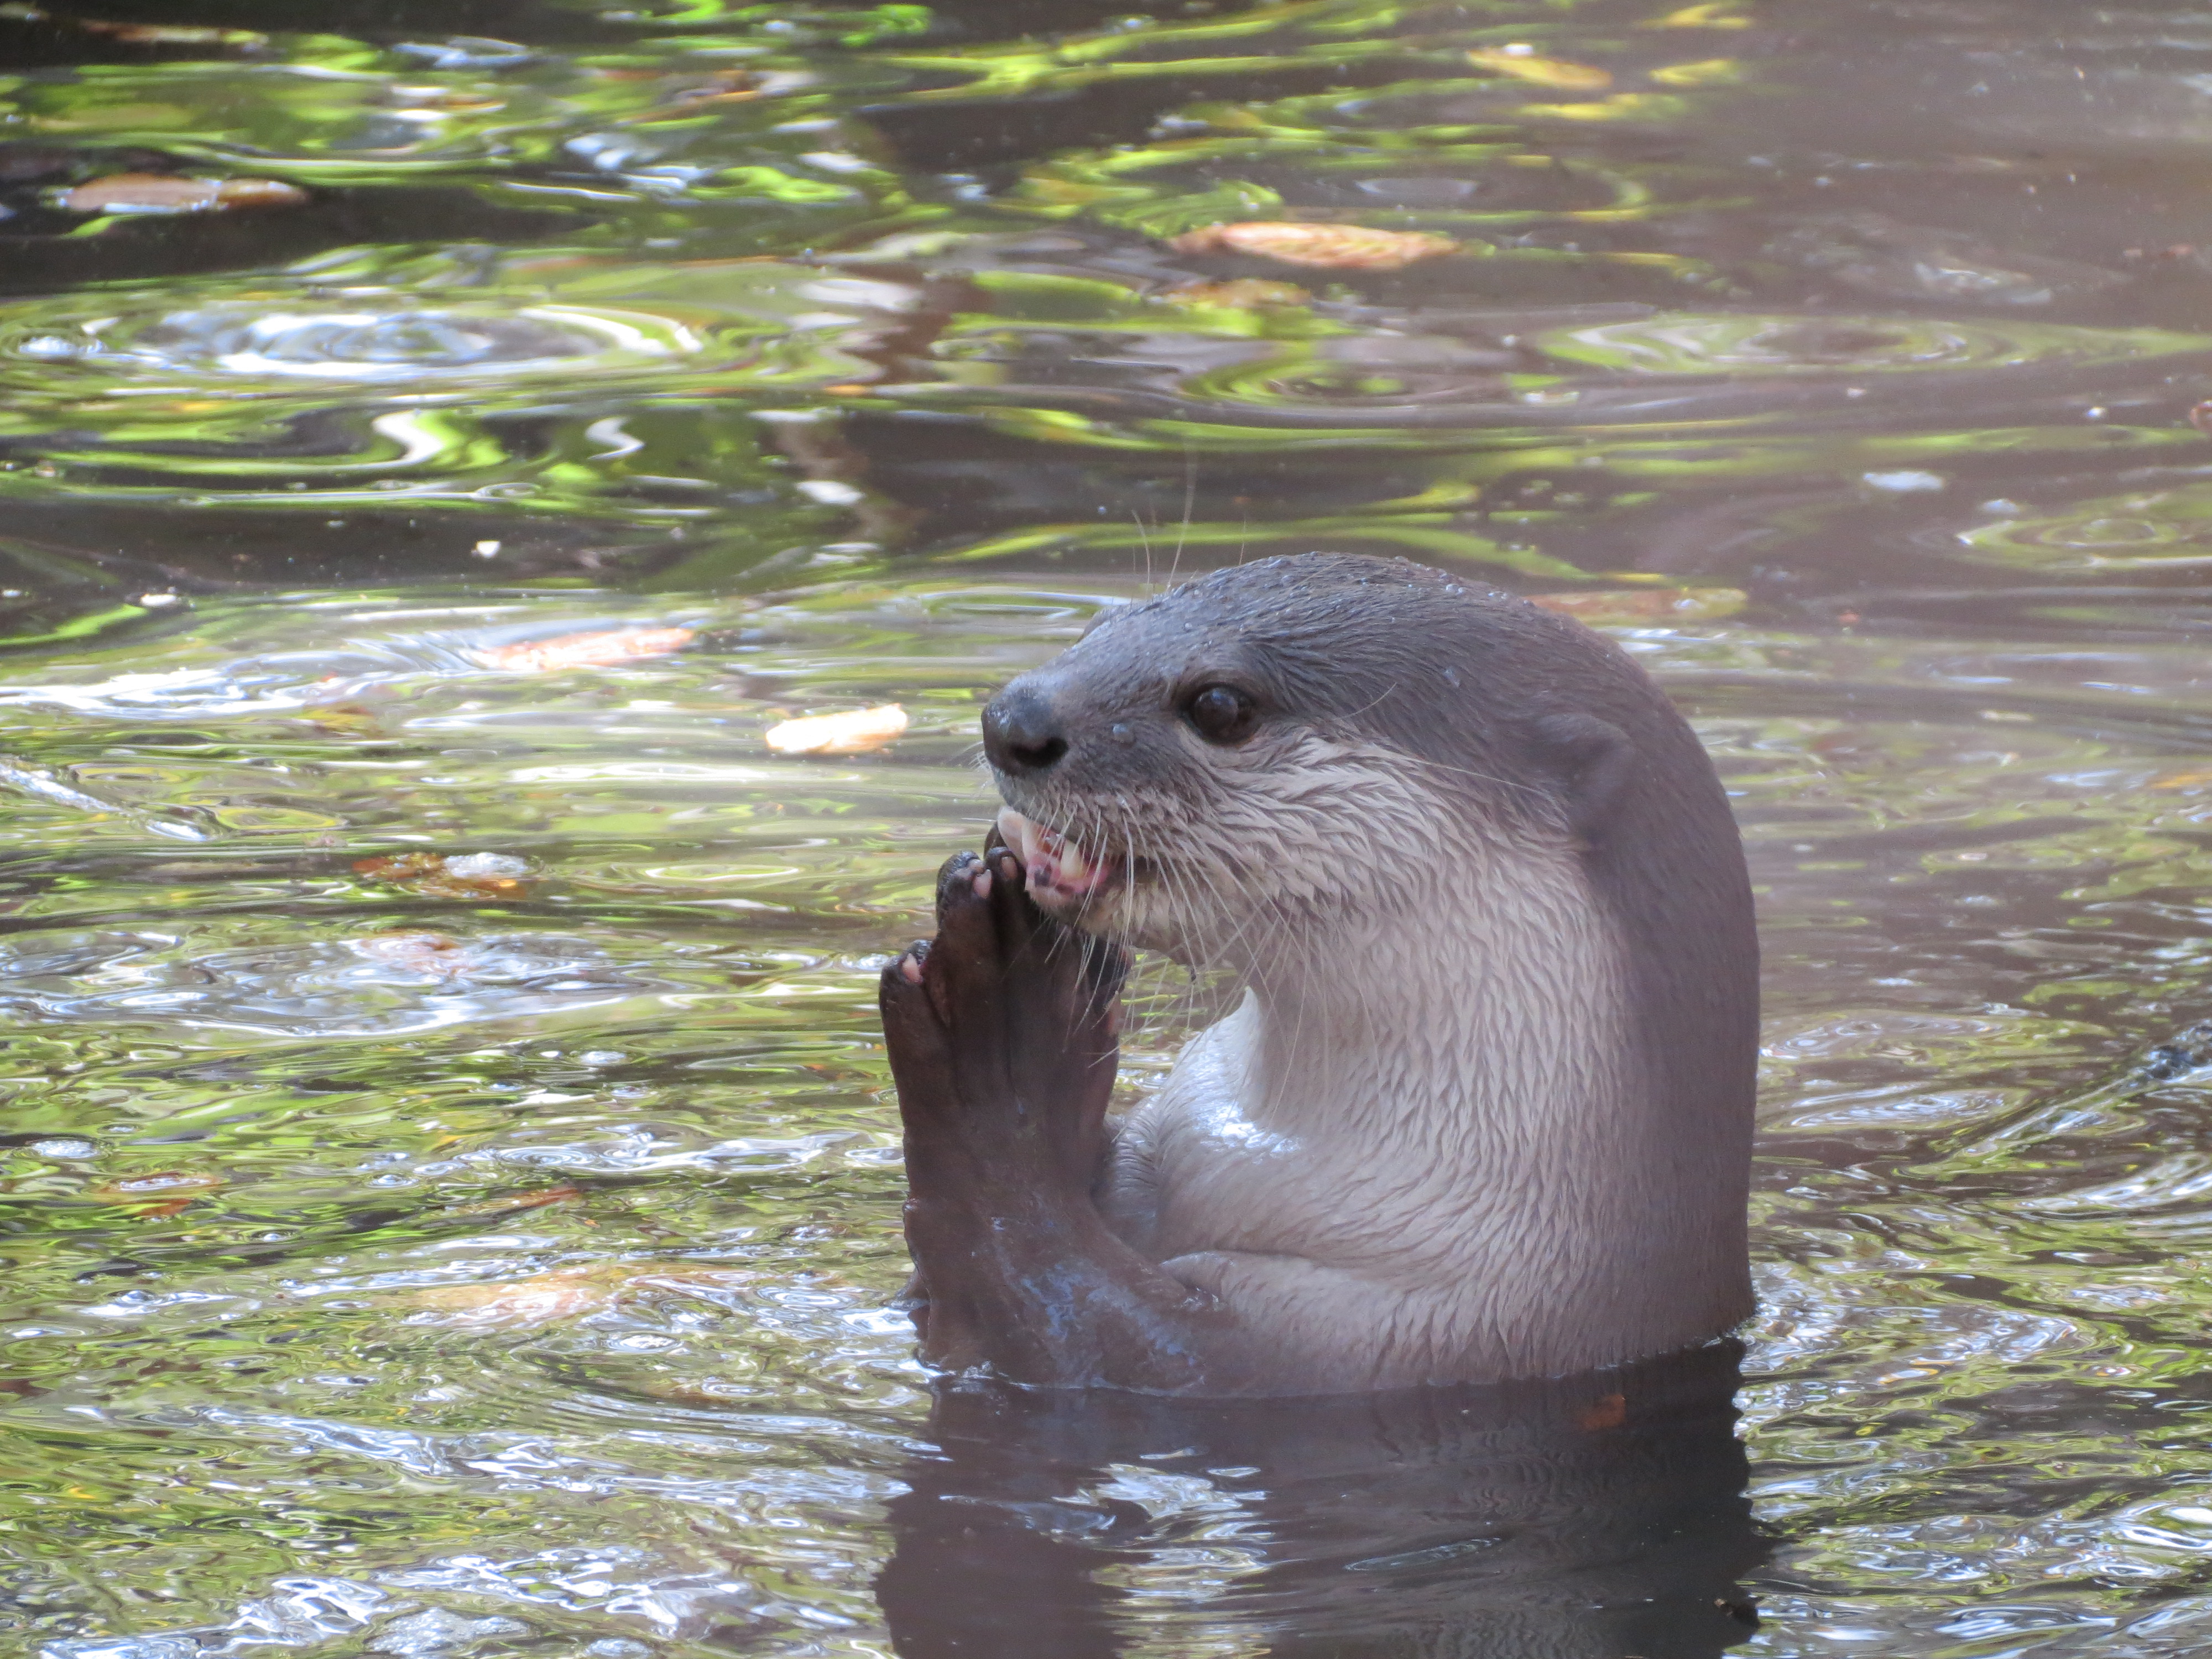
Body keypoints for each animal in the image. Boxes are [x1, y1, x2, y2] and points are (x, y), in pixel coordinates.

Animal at [878, 552, 1757, 1395]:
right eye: (1102, 626)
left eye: (1220, 706)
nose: (1012, 722)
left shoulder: (1363, 1346)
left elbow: (1048, 1298)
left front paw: (1006, 1043)